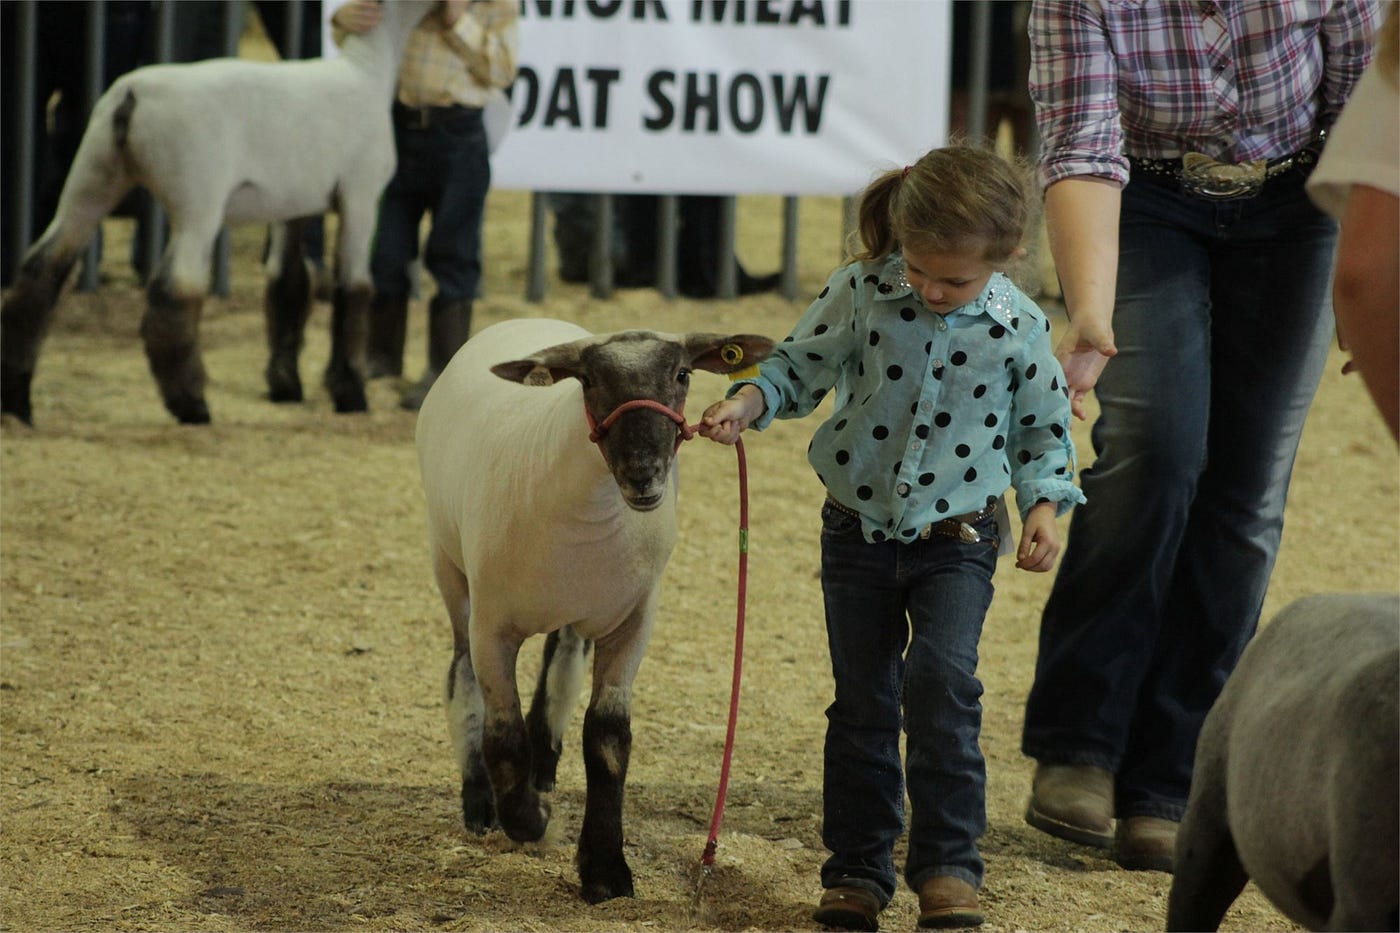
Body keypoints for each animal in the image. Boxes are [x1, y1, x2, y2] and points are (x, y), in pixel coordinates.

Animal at [0, 0, 436, 425]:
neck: (367, 71)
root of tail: (133, 93)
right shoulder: (361, 195)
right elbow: (355, 289)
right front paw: (351, 395)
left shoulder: (292, 205)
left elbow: (288, 282)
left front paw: (286, 387)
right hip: (197, 203)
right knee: (174, 291)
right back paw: (191, 404)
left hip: (91, 180)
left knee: (41, 270)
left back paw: (18, 401)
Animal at [411, 316, 778, 896]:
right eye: (587, 381)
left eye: (682, 374)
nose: (644, 473)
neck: (590, 508)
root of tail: (527, 322)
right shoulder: (492, 627)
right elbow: (503, 737)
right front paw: (530, 820)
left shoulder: (633, 621)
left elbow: (607, 739)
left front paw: (605, 869)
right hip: (450, 568)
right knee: (460, 674)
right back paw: (481, 803)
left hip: (582, 610)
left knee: (561, 662)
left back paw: (544, 767)